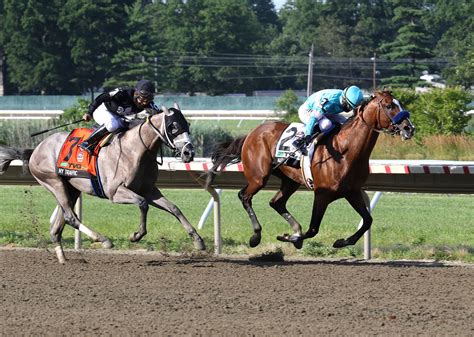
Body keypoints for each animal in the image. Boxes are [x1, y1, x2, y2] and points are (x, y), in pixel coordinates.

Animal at [1, 103, 206, 262]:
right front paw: (136, 235)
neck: (136, 150)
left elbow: (174, 208)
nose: (189, 153)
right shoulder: (115, 192)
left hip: (71, 189)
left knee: (58, 224)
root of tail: (35, 150)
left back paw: (63, 259)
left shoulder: (149, 190)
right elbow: (142, 204)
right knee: (70, 217)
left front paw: (198, 241)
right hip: (53, 182)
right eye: (173, 126)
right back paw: (103, 240)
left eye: (187, 124)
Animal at [207, 90, 414, 248]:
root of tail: (252, 133)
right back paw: (256, 236)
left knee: (276, 202)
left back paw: (294, 229)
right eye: (389, 105)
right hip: (259, 177)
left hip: (289, 180)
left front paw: (341, 242)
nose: (409, 128)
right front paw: (291, 237)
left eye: (399, 103)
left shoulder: (353, 191)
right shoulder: (322, 194)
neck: (346, 151)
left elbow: (368, 221)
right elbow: (313, 229)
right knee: (245, 196)